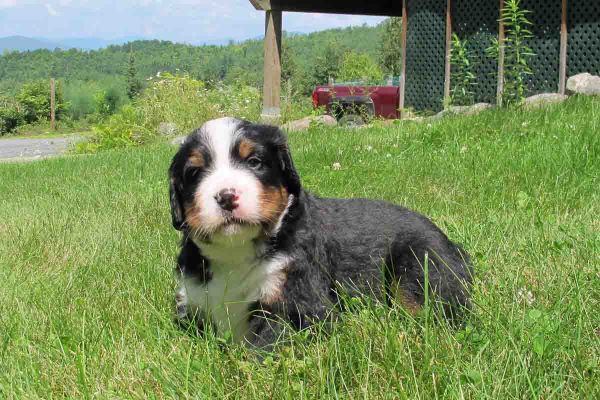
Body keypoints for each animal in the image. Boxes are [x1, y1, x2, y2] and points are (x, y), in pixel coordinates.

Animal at [169, 117, 474, 348]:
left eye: (254, 162)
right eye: (195, 173)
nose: (226, 196)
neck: (235, 252)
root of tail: (452, 244)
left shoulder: (299, 306)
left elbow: (262, 351)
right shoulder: (192, 303)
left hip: (420, 267)